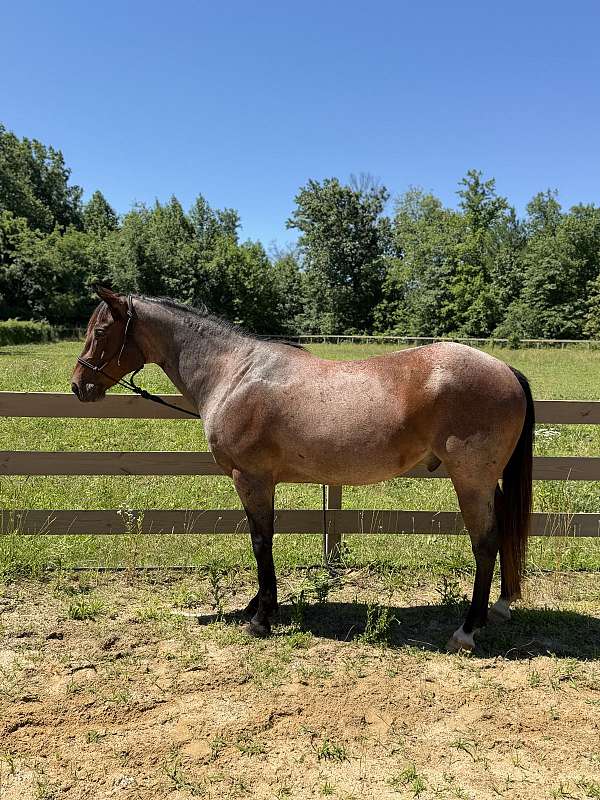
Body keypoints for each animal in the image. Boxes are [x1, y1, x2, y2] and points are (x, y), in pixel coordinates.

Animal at [71, 286, 534, 652]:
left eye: (100, 331)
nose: (79, 385)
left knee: (485, 543)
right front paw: (258, 606)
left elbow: (260, 542)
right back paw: (495, 609)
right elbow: (265, 540)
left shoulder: (251, 479)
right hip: (484, 482)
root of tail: (504, 368)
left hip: (470, 481)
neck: (235, 373)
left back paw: (466, 631)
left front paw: (260, 619)